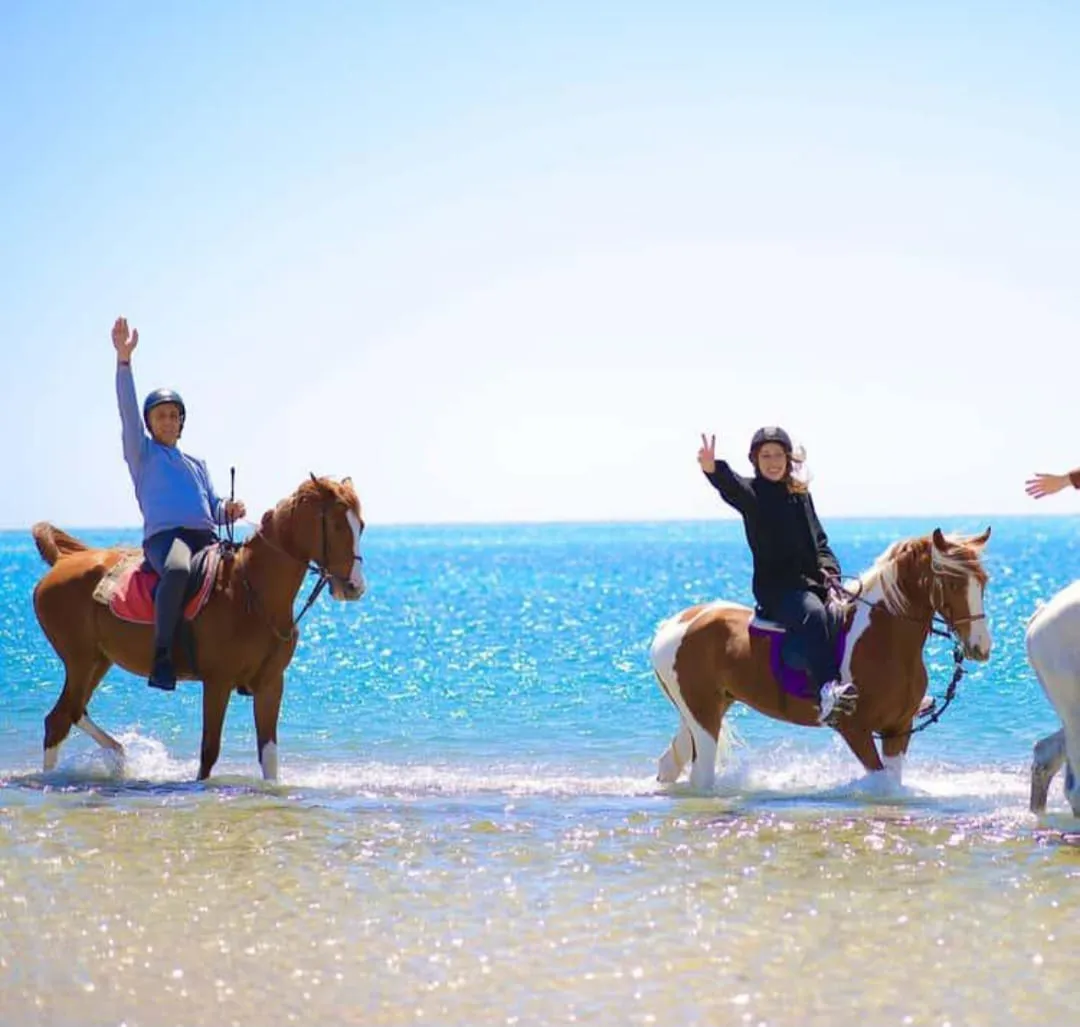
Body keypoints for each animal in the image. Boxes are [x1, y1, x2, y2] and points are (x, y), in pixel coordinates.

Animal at [31, 475, 366, 782]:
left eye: (360, 525)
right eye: (336, 525)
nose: (354, 587)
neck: (250, 591)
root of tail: (64, 561)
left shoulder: (270, 685)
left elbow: (269, 757)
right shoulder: (217, 682)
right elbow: (209, 751)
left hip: (99, 660)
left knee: (71, 714)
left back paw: (117, 753)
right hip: (80, 660)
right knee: (60, 719)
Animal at [649, 528, 993, 791]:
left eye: (984, 582)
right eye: (951, 583)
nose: (981, 647)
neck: (882, 640)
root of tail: (675, 624)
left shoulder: (898, 728)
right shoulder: (854, 730)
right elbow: (880, 782)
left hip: (709, 708)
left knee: (670, 763)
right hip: (703, 713)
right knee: (700, 774)